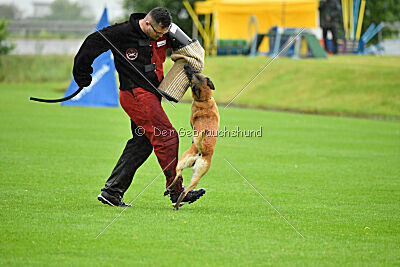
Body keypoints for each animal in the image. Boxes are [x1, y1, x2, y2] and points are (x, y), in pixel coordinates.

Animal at [166, 64, 222, 209]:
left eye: (193, 74)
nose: (187, 65)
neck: (204, 100)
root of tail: (202, 152)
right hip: (195, 172)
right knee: (183, 185)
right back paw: (175, 199)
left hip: (186, 162)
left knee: (179, 177)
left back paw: (172, 195)